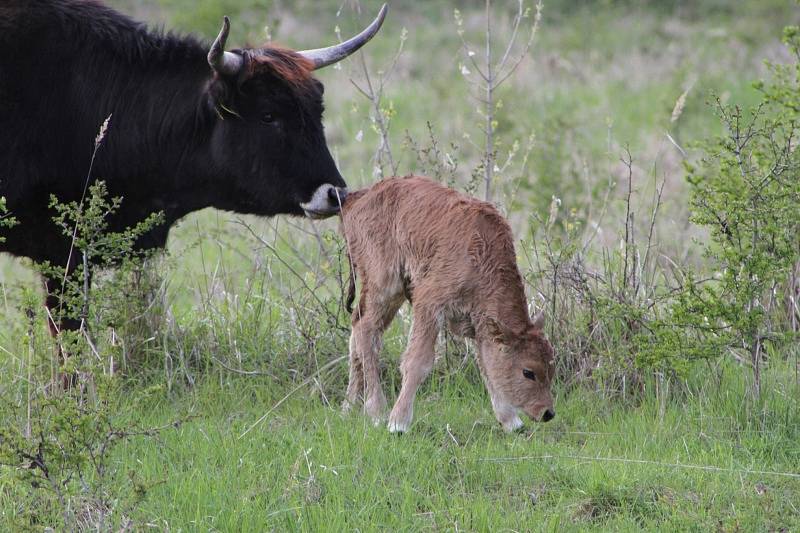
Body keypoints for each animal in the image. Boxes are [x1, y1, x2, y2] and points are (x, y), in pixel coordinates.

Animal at [340, 177, 556, 434]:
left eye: (551, 368)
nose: (547, 413)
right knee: (366, 331)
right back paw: (376, 411)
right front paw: (398, 423)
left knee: (359, 330)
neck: (482, 257)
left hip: (390, 293)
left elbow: (487, 366)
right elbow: (418, 362)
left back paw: (349, 406)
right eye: (528, 372)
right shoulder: (429, 304)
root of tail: (359, 197)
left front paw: (511, 422)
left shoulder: (479, 325)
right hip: (385, 284)